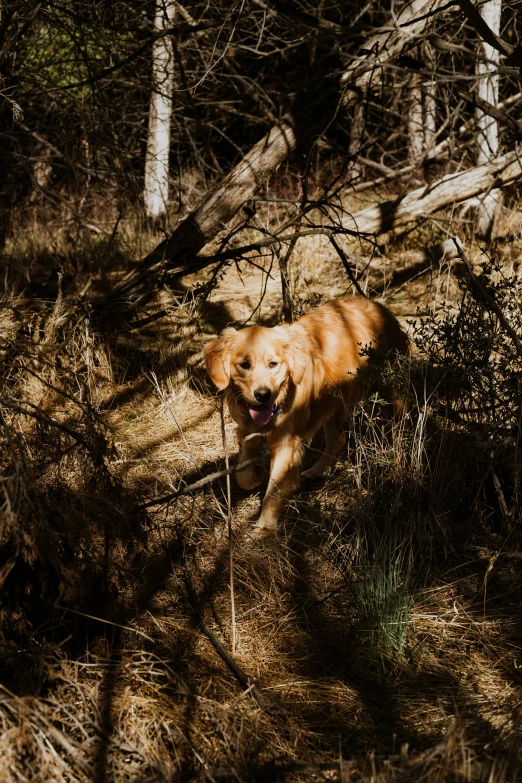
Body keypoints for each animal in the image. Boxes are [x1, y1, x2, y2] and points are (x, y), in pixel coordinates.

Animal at [203, 298, 406, 536]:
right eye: (245, 365)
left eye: (273, 364)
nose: (263, 395)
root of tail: (379, 305)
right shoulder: (247, 432)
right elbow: (243, 476)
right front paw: (256, 478)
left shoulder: (287, 444)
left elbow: (273, 492)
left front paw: (265, 526)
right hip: (332, 402)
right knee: (338, 438)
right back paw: (319, 470)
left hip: (385, 388)